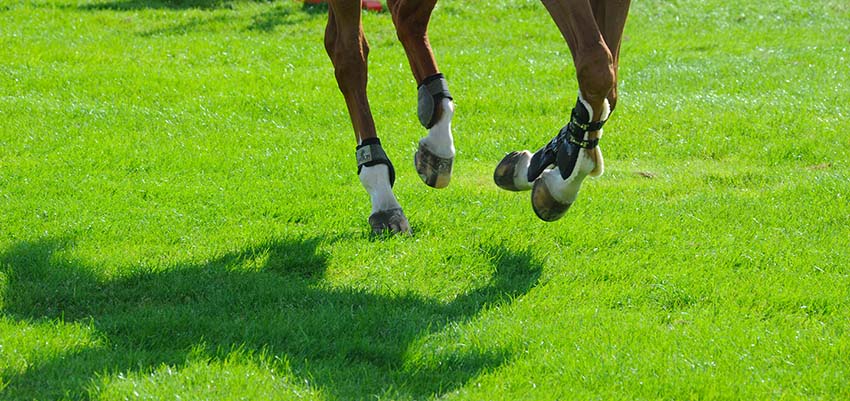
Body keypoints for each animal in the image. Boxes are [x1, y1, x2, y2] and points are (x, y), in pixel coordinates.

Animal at [323, 0, 631, 234]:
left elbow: (610, 88)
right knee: (348, 53)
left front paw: (541, 163)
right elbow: (597, 67)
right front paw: (564, 181)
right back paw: (381, 190)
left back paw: (438, 137)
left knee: (406, 18)